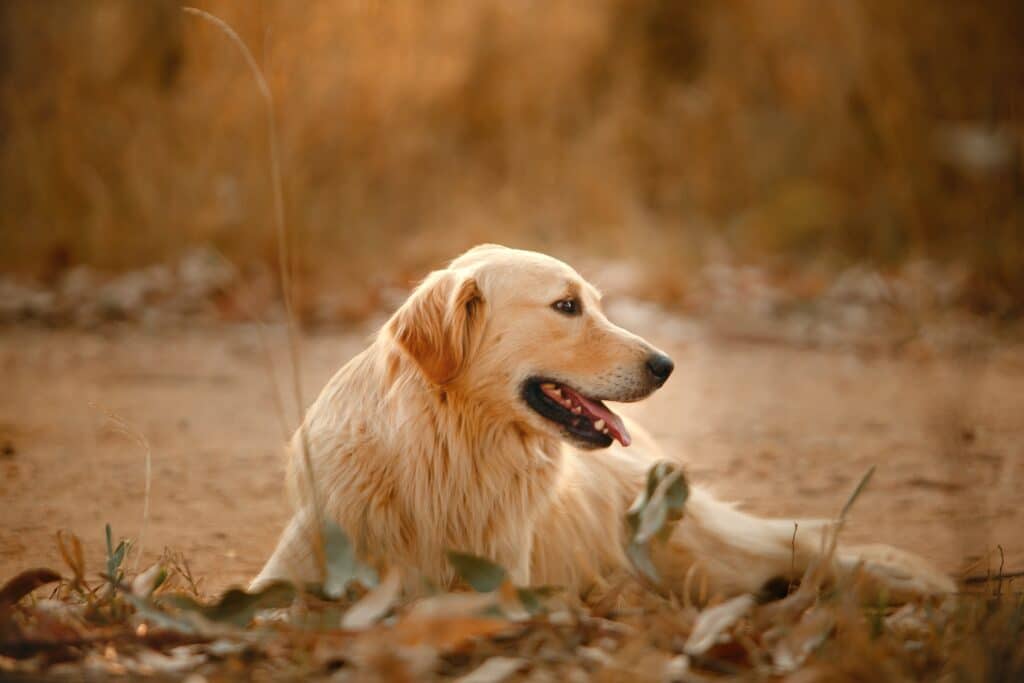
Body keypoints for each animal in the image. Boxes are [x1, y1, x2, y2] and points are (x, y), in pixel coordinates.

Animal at [251, 244, 954, 602]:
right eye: (566, 307)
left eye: (594, 301)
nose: (667, 365)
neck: (448, 451)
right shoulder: (292, 567)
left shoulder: (497, 587)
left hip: (696, 549)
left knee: (805, 545)